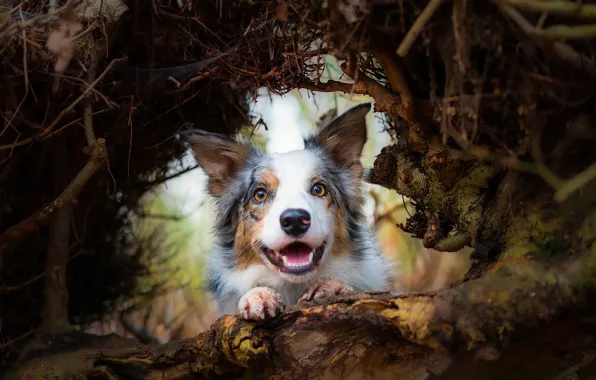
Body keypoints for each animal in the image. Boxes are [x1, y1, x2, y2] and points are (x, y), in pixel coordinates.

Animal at [182, 102, 396, 320]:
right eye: (260, 194)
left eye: (319, 189)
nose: (295, 220)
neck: (294, 286)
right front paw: (258, 295)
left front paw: (332, 287)